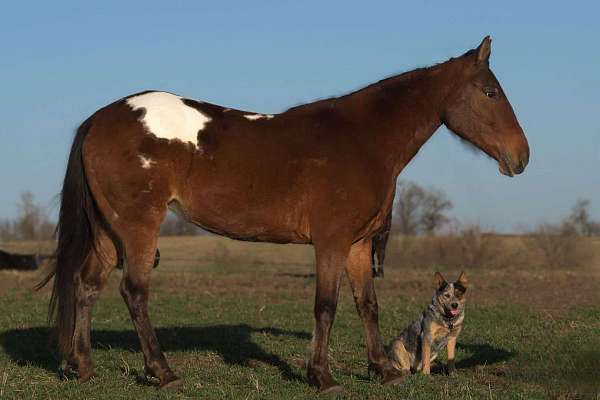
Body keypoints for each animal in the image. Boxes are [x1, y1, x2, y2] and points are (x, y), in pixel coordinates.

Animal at [37, 36, 528, 392]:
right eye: (491, 92)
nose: (521, 157)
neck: (362, 140)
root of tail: (99, 119)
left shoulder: (358, 245)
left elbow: (366, 305)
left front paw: (382, 370)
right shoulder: (330, 243)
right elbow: (326, 306)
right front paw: (322, 377)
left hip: (108, 231)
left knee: (86, 286)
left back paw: (83, 367)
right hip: (139, 228)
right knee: (134, 292)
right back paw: (163, 373)